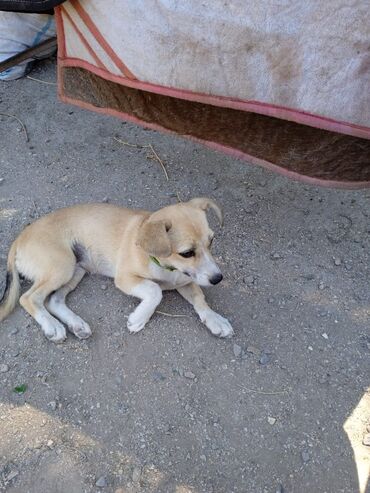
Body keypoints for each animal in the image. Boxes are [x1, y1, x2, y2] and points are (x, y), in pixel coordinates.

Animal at [0, 196, 234, 342]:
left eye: (211, 241)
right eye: (186, 253)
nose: (218, 279)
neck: (168, 268)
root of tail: (19, 239)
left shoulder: (187, 280)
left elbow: (200, 299)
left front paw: (216, 319)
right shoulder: (125, 278)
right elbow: (154, 290)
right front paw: (139, 319)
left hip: (76, 270)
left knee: (53, 300)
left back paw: (77, 325)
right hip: (61, 266)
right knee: (29, 298)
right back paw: (52, 326)